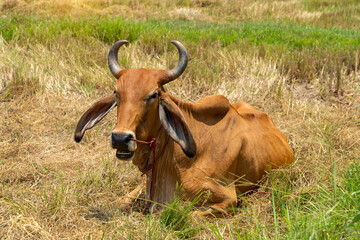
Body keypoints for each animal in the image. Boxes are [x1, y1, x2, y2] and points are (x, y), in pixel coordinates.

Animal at [74, 40, 294, 217]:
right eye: (117, 93)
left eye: (153, 95)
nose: (120, 138)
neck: (175, 159)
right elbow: (120, 202)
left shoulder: (228, 198)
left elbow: (187, 215)